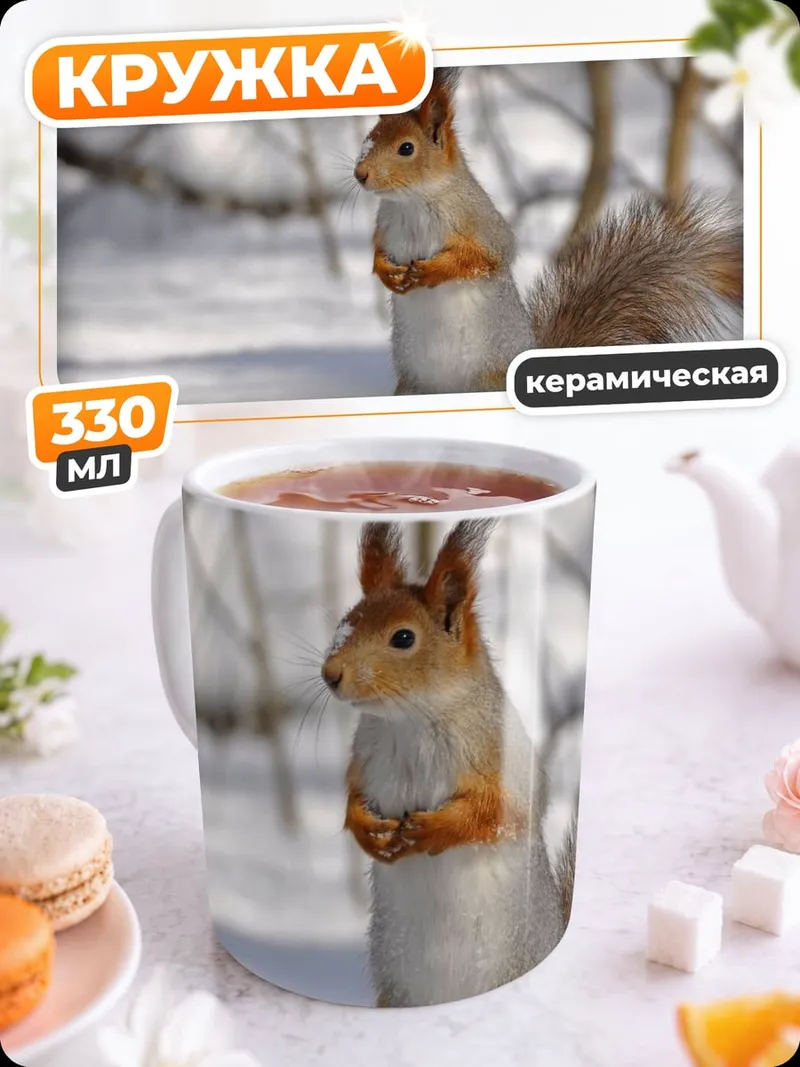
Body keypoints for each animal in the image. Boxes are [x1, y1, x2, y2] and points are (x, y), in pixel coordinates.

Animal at [321, 519, 573, 1008]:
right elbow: (353, 795)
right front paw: (366, 828)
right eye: (345, 621)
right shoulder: (365, 754)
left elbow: (505, 813)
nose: (330, 674)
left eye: (403, 637)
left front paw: (436, 829)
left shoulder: (502, 754)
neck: (412, 719)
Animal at [354, 68, 744, 396]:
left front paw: (432, 271)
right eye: (369, 138)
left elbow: (488, 256)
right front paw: (388, 273)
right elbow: (377, 253)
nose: (360, 174)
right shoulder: (384, 225)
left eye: (407, 148)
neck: (412, 202)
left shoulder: (479, 221)